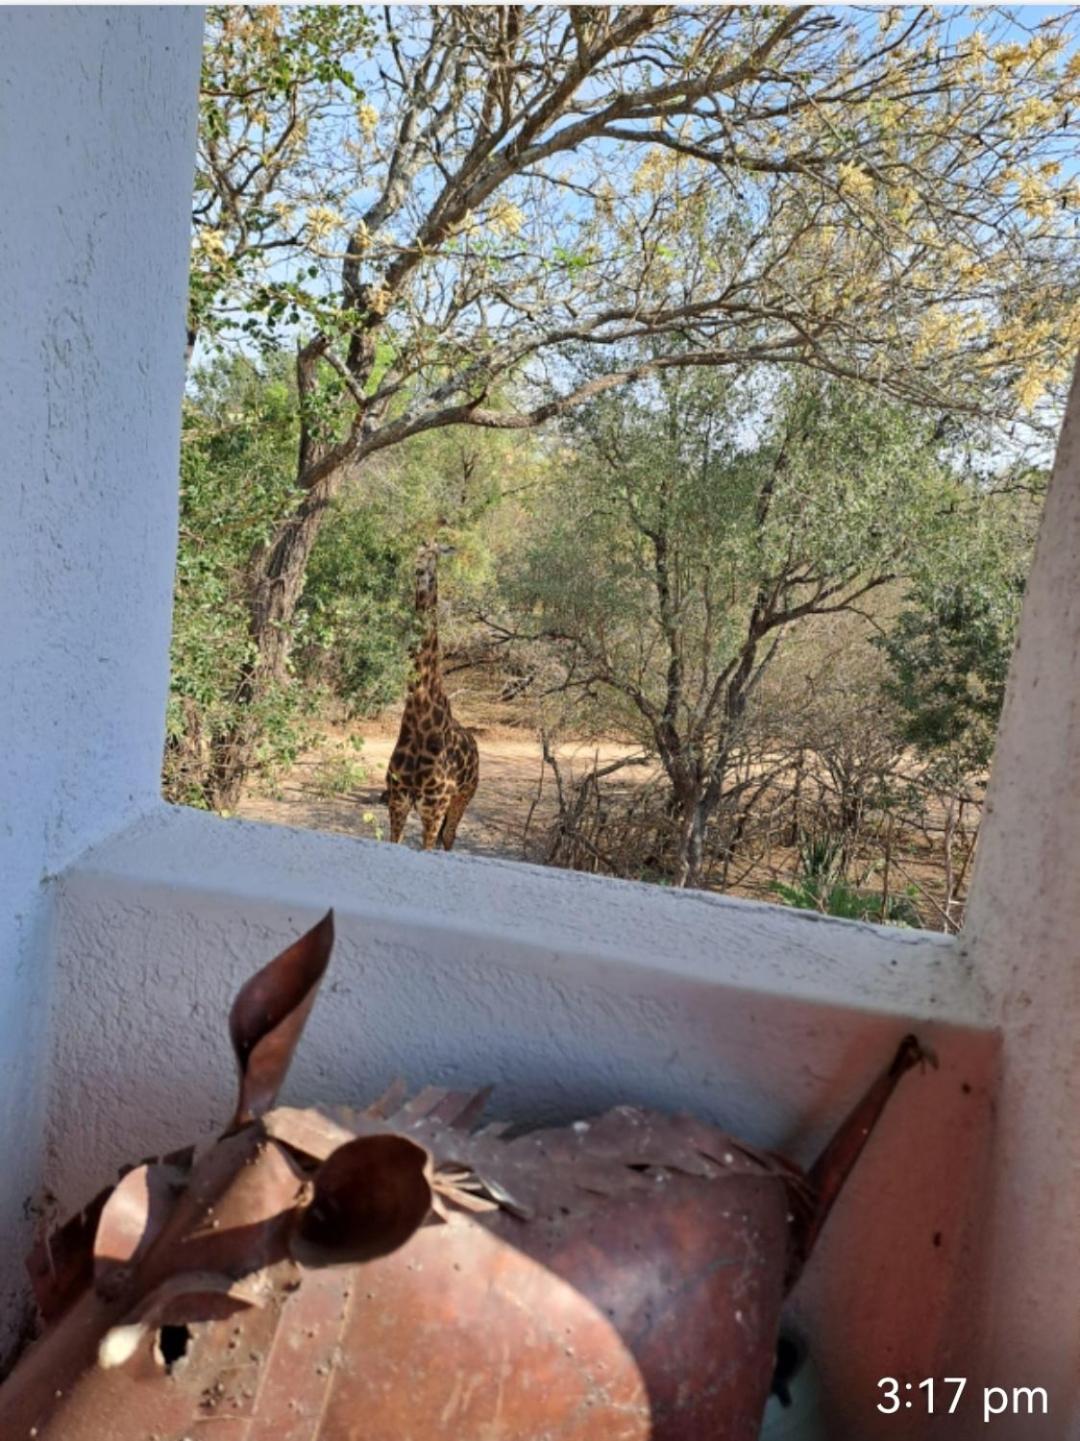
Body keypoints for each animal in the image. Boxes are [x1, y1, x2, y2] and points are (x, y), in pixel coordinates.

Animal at [384, 541, 479, 850]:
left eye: (434, 555)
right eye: (417, 551)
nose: (418, 570)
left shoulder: (433, 808)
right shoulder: (398, 800)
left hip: (463, 796)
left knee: (449, 838)